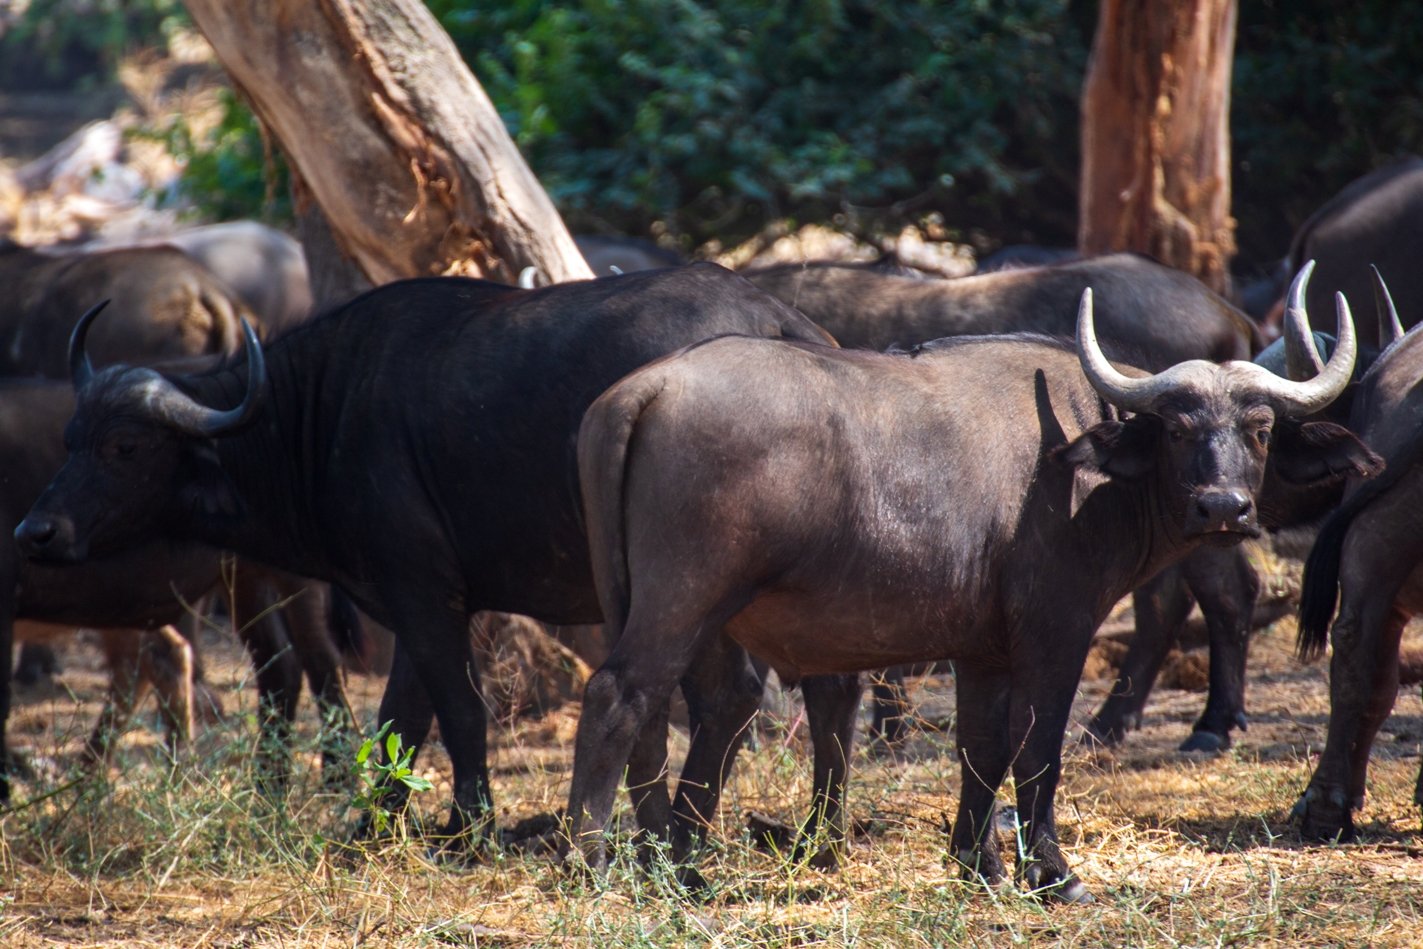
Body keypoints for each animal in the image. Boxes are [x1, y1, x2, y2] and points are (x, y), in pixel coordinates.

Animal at [13, 264, 837, 851]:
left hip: (695, 589)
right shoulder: (410, 599)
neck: (321, 411)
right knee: (782, 691)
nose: (35, 532)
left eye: (127, 446)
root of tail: (778, 320)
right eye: (72, 437)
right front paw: (371, 824)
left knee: (728, 695)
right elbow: (400, 717)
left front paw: (469, 826)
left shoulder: (427, 595)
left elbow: (460, 710)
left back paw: (687, 834)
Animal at [564, 284, 1370, 900]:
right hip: (686, 601)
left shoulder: (983, 651)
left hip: (675, 611)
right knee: (619, 697)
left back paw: (675, 865)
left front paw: (976, 863)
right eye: (1176, 429)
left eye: (1259, 428)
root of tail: (649, 386)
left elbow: (981, 746)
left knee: (695, 708)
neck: (1082, 465)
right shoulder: (1056, 630)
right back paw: (590, 861)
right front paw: (1053, 872)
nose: (1222, 508)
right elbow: (1037, 746)